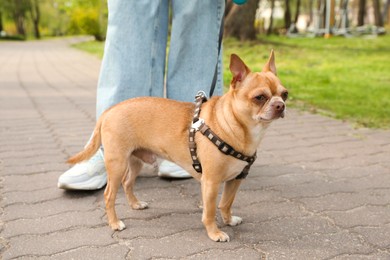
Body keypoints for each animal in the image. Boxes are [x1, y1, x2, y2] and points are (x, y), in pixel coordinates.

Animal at [67, 50, 288, 242]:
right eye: (260, 97)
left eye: (285, 94)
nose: (280, 105)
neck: (238, 128)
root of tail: (110, 110)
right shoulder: (211, 183)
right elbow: (209, 211)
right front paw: (214, 233)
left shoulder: (235, 180)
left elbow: (226, 203)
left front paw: (229, 220)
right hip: (117, 163)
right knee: (109, 194)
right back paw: (114, 223)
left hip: (135, 162)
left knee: (127, 183)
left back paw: (135, 204)